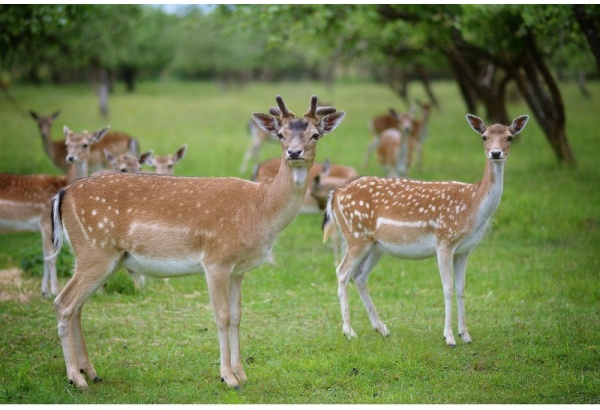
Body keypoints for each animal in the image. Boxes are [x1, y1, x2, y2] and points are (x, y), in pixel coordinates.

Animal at [0, 126, 109, 296]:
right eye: (67, 144)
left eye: (85, 144)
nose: (71, 157)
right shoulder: (45, 222)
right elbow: (51, 257)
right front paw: (54, 290)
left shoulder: (42, 226)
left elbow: (45, 256)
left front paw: (44, 291)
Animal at [47, 94, 346, 390]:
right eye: (281, 134)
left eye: (315, 134)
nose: (294, 153)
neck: (260, 210)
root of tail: (62, 194)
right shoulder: (216, 260)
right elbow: (222, 316)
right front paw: (228, 377)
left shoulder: (239, 269)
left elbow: (238, 316)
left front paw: (242, 374)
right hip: (95, 250)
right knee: (64, 303)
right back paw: (76, 377)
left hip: (101, 257)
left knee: (78, 307)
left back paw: (91, 372)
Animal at [324, 113, 528, 346]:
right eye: (484, 137)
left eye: (510, 137)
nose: (495, 153)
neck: (473, 207)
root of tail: (335, 194)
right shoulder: (444, 241)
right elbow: (447, 288)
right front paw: (449, 337)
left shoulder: (465, 249)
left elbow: (461, 289)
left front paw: (466, 335)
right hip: (356, 236)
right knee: (342, 272)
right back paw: (349, 331)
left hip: (376, 246)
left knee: (359, 276)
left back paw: (382, 328)